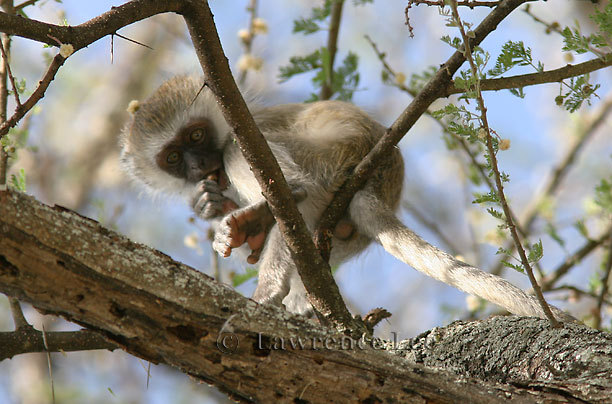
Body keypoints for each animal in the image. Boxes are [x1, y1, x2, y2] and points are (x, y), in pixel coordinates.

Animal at [120, 76, 572, 322]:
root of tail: (380, 175)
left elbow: (235, 146)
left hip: (328, 156)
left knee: (253, 162)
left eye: (196, 135)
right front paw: (207, 202)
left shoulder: (249, 124)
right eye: (173, 157)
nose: (197, 164)